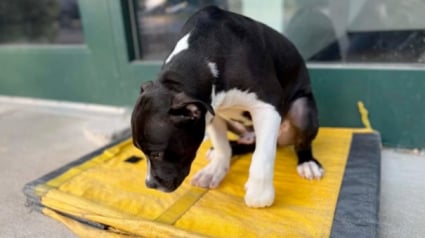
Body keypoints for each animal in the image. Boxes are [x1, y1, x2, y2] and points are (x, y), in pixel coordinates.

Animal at [131, 6, 322, 208]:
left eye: (157, 154)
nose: (150, 184)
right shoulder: (210, 112)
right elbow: (222, 145)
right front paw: (214, 170)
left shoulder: (268, 105)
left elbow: (263, 155)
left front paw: (259, 194)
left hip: (302, 110)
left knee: (298, 142)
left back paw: (307, 162)